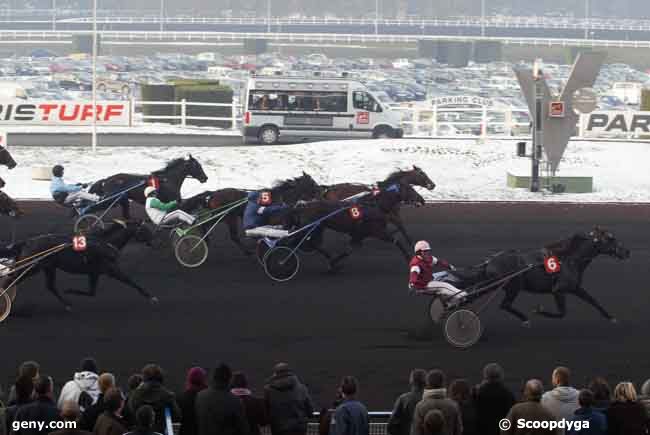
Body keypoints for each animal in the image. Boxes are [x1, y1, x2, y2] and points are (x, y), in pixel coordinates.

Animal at [0, 220, 157, 312]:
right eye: (145, 230)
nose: (154, 241)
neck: (104, 242)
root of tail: (27, 241)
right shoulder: (111, 269)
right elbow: (131, 281)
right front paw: (151, 297)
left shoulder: (94, 272)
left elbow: (91, 292)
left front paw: (70, 291)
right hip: (31, 267)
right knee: (11, 280)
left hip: (48, 267)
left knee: (50, 286)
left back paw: (67, 304)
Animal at [177, 172, 322, 255]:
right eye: (313, 184)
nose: (322, 193)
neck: (280, 197)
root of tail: (213, 193)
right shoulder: (275, 220)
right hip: (227, 216)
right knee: (223, 232)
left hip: (223, 216)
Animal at [284, 181, 420, 270]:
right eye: (411, 190)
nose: (422, 200)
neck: (374, 205)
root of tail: (302, 207)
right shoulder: (378, 232)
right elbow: (397, 241)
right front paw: (409, 258)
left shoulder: (359, 235)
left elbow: (348, 250)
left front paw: (334, 262)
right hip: (312, 228)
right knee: (297, 242)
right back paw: (283, 262)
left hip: (318, 228)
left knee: (311, 244)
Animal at [458, 228, 632, 328]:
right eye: (611, 239)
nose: (627, 251)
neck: (569, 259)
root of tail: (490, 262)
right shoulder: (559, 290)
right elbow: (562, 313)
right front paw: (539, 310)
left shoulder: (575, 287)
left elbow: (593, 300)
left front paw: (611, 317)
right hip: (513, 286)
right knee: (504, 304)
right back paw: (525, 319)